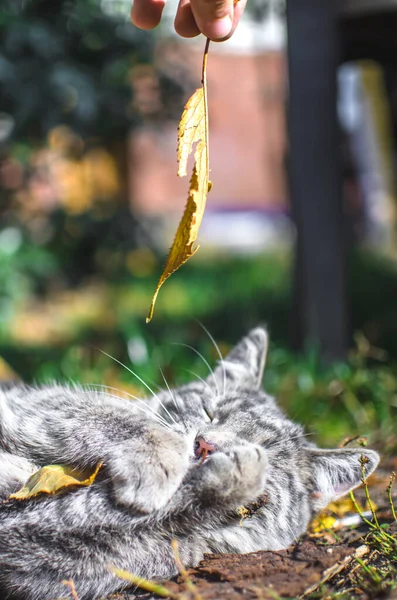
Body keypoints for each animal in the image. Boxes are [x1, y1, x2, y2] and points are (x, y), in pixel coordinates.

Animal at [0, 328, 378, 600]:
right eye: (210, 412)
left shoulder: (48, 544)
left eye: (266, 449)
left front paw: (240, 470)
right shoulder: (38, 405)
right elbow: (119, 417)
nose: (205, 445)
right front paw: (159, 463)